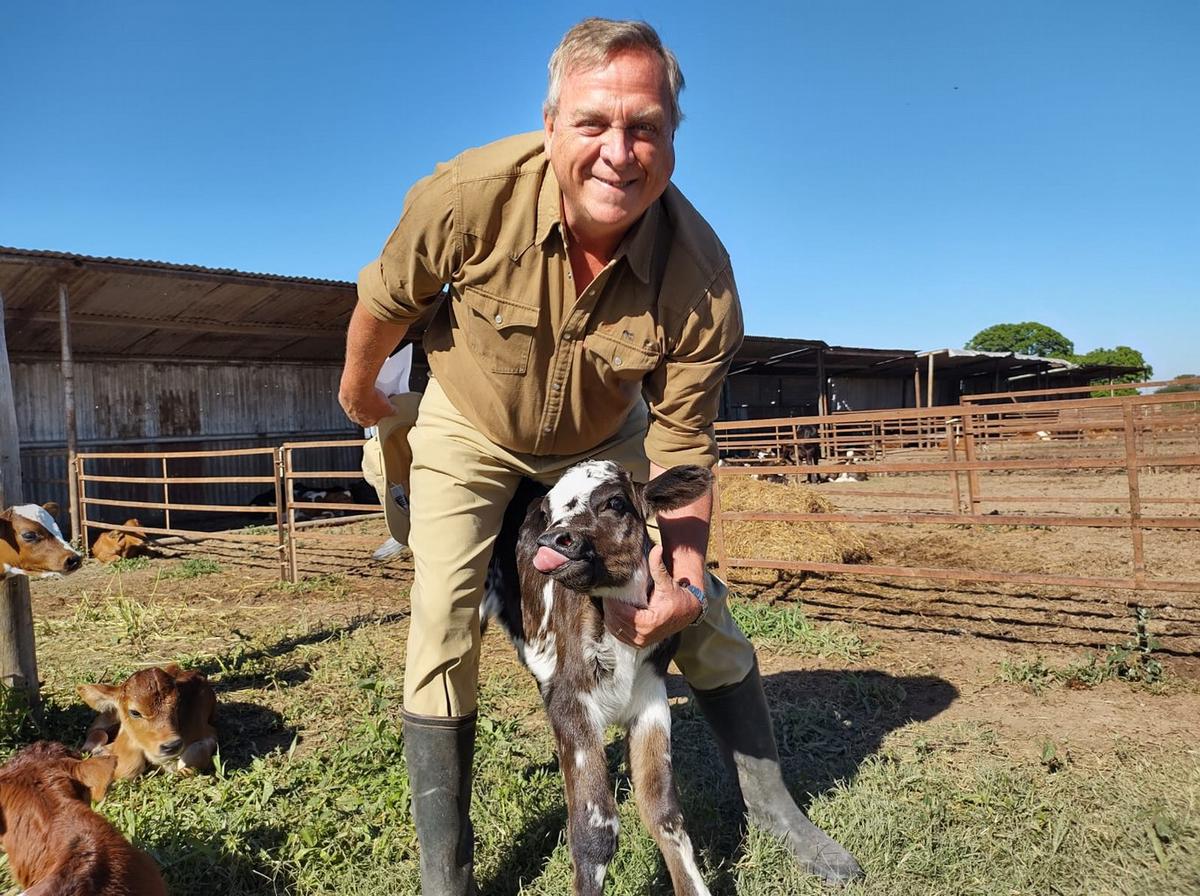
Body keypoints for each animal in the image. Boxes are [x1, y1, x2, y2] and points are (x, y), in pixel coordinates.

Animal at [78, 662, 219, 782]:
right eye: (135, 712)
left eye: (178, 704)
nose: (171, 746)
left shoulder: (208, 732)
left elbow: (194, 757)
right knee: (96, 732)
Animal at [484, 462, 710, 896]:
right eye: (549, 513)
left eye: (616, 502)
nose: (553, 541)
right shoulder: (572, 702)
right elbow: (594, 830)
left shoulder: (651, 699)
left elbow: (664, 812)